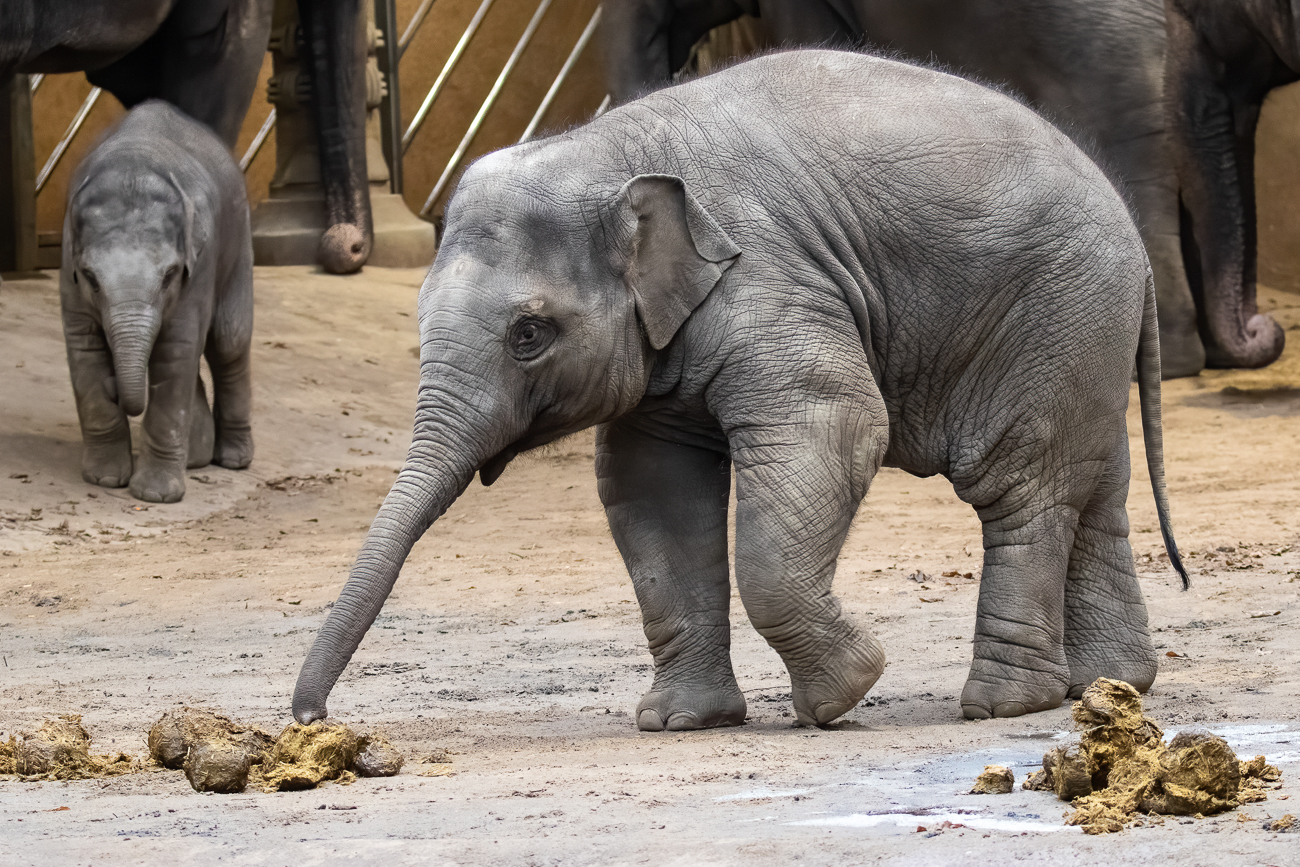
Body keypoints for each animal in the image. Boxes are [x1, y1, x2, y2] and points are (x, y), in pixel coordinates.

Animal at [61, 102, 253, 504]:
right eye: (90, 277)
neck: (133, 163)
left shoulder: (199, 266)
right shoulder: (67, 261)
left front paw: (155, 496)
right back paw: (196, 458)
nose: (116, 389)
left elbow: (176, 350)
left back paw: (233, 460)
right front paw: (104, 480)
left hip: (240, 241)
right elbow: (85, 349)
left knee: (229, 342)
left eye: (169, 275)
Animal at [295, 51, 1190, 733]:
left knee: (1019, 488)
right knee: (1094, 487)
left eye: (528, 334)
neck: (608, 149)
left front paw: (843, 693)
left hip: (1050, 313)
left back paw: (1006, 705)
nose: (308, 717)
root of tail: (1132, 234)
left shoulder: (771, 280)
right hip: (1083, 335)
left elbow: (835, 424)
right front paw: (678, 722)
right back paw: (1108, 685)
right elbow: (650, 487)